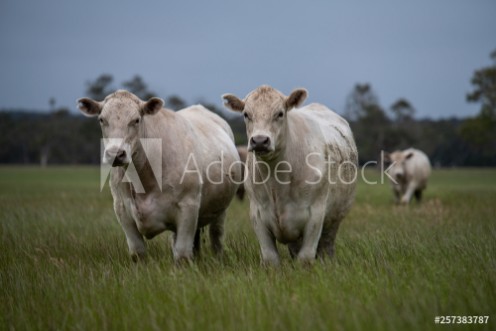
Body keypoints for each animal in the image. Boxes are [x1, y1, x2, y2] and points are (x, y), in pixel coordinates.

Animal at [76, 89, 241, 264]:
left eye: (136, 120)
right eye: (102, 119)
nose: (115, 154)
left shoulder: (188, 207)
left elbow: (182, 254)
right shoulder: (122, 211)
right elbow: (138, 252)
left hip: (220, 210)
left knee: (216, 237)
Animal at [224, 86, 356, 268]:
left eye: (280, 113)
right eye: (246, 114)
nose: (260, 141)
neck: (277, 183)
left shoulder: (316, 215)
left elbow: (305, 258)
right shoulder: (258, 215)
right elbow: (270, 258)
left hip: (333, 220)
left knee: (326, 248)